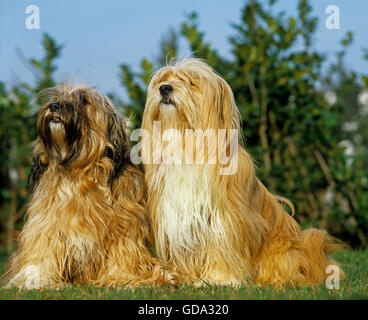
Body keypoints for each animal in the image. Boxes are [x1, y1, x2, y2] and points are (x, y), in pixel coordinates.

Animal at [1, 82, 174, 290]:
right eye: (56, 96)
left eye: (84, 100)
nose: (54, 106)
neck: (78, 170)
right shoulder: (47, 222)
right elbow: (43, 250)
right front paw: (37, 279)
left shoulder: (124, 226)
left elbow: (122, 251)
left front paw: (122, 278)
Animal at [142, 58, 344, 288]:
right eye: (162, 80)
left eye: (192, 82)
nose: (164, 88)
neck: (187, 144)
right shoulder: (176, 219)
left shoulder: (223, 219)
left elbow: (221, 248)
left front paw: (217, 279)